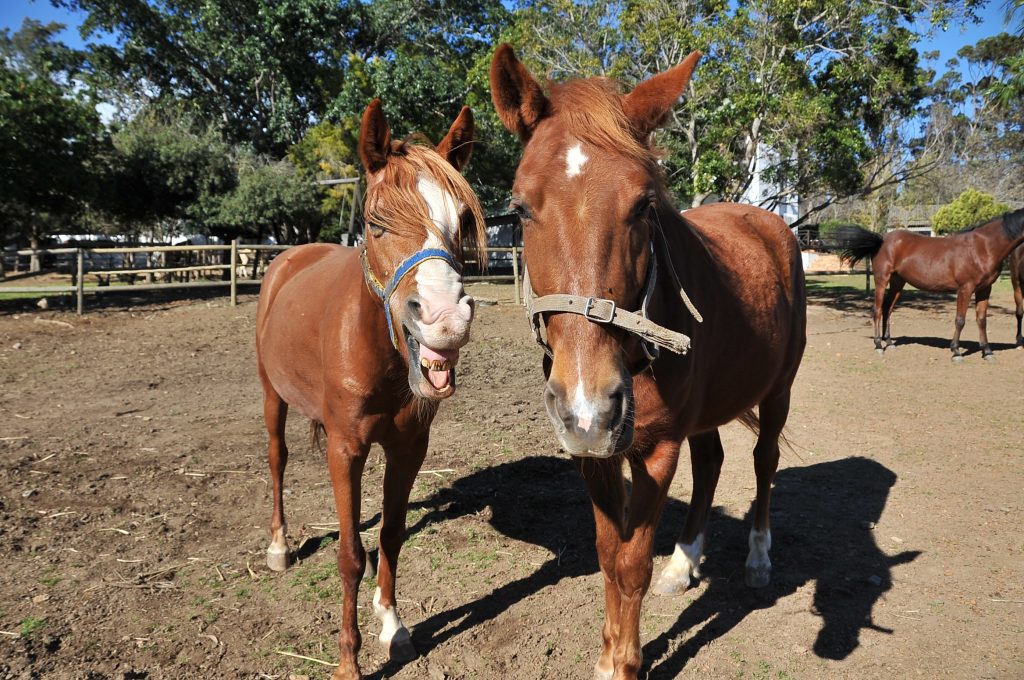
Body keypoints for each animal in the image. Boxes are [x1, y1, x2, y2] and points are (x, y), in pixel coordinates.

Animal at [255, 99, 486, 680]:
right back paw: (279, 547)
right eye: (378, 224)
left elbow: (390, 537)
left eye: (461, 222)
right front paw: (348, 661)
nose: (446, 320)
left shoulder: (408, 448)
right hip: (271, 395)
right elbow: (351, 557)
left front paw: (394, 627)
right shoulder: (346, 449)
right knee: (277, 458)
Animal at [490, 46, 807, 679]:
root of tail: (772, 223)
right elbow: (609, 556)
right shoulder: (594, 454)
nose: (587, 406)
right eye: (520, 208)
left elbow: (631, 563)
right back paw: (684, 563)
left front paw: (626, 663)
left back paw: (759, 558)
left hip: (778, 390)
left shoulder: (657, 448)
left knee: (764, 460)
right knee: (711, 462)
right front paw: (610, 652)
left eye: (643, 206)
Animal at [837, 208, 1024, 361]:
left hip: (898, 282)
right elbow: (960, 320)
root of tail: (881, 239)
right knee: (876, 310)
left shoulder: (985, 289)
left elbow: (982, 320)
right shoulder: (965, 288)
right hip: (881, 279)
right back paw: (878, 345)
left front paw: (987, 351)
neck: (983, 246)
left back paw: (889, 343)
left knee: (887, 309)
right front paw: (956, 351)